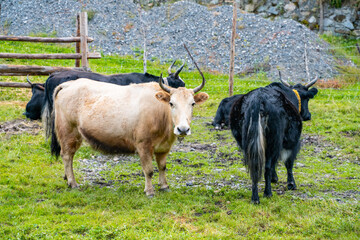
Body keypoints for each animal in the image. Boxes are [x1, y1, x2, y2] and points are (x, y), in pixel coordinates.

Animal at [50, 75, 208, 197]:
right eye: (171, 103)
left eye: (193, 103)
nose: (183, 129)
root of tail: (69, 84)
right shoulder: (144, 145)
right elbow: (149, 170)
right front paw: (149, 191)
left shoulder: (164, 147)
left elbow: (162, 167)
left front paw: (164, 186)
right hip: (69, 132)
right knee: (67, 155)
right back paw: (73, 183)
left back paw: (67, 179)